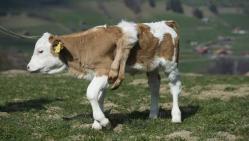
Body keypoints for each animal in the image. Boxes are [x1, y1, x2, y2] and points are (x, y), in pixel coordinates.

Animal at [27, 20, 182, 129]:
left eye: (40, 51)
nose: (28, 67)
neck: (87, 45)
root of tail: (166, 23)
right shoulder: (102, 75)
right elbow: (99, 96)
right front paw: (97, 124)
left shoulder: (104, 70)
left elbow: (91, 93)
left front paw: (103, 121)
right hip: (151, 67)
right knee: (154, 87)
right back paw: (153, 115)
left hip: (171, 65)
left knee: (175, 87)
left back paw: (176, 117)